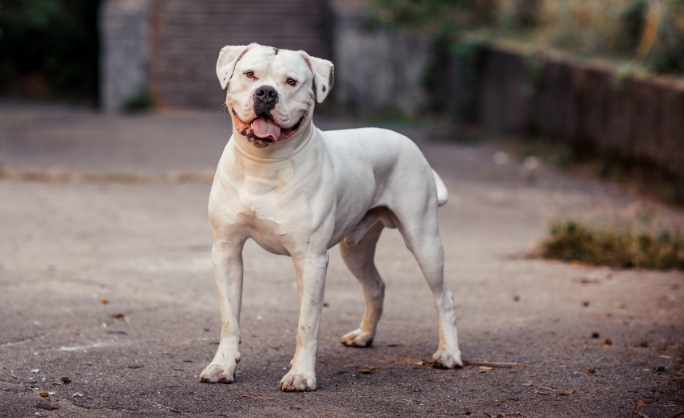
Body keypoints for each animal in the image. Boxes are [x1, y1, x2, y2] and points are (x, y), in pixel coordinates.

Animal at [199, 43, 464, 392]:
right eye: (250, 74)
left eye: (291, 82)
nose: (266, 92)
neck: (263, 165)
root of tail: (407, 141)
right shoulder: (226, 251)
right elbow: (229, 317)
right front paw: (222, 365)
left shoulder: (311, 259)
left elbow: (307, 323)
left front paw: (301, 374)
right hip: (355, 249)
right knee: (375, 286)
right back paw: (364, 335)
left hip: (423, 240)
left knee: (443, 296)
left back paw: (449, 353)